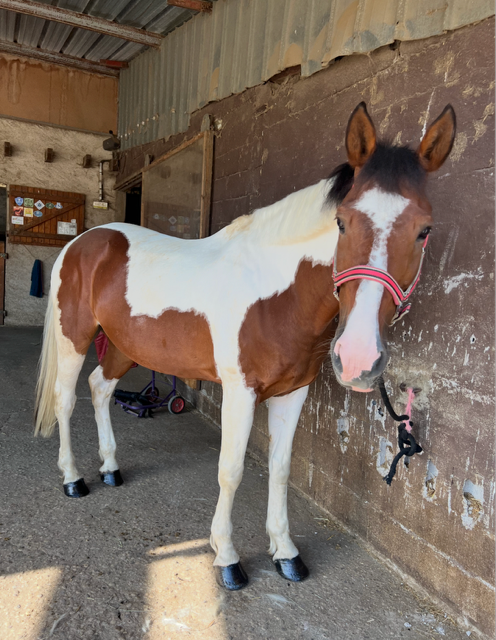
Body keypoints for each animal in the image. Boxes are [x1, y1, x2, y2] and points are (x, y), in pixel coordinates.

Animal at [34, 102, 456, 590]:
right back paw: (73, 478)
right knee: (67, 399)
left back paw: (110, 469)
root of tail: (83, 242)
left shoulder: (293, 394)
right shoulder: (240, 393)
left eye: (424, 230)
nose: (357, 358)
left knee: (101, 388)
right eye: (342, 222)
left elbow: (280, 469)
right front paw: (227, 558)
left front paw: (286, 553)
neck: (274, 294)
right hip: (74, 336)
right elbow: (231, 471)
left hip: (125, 346)